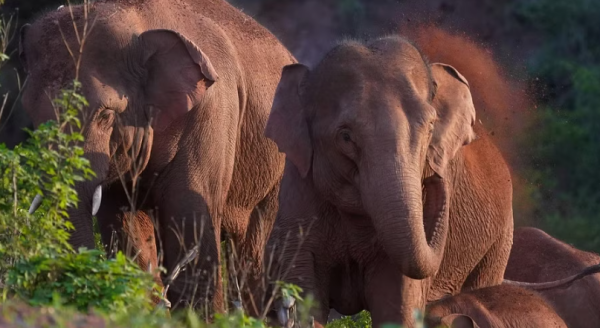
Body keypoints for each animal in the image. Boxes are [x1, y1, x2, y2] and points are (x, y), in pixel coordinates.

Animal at [19, 0, 296, 314]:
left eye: (105, 115)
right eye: (31, 112)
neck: (137, 21)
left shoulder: (210, 113)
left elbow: (189, 218)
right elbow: (123, 224)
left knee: (256, 248)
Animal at [264, 34, 512, 326]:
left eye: (430, 127)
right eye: (345, 136)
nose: (436, 175)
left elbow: (397, 304)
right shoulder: (298, 195)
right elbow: (305, 296)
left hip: (498, 244)